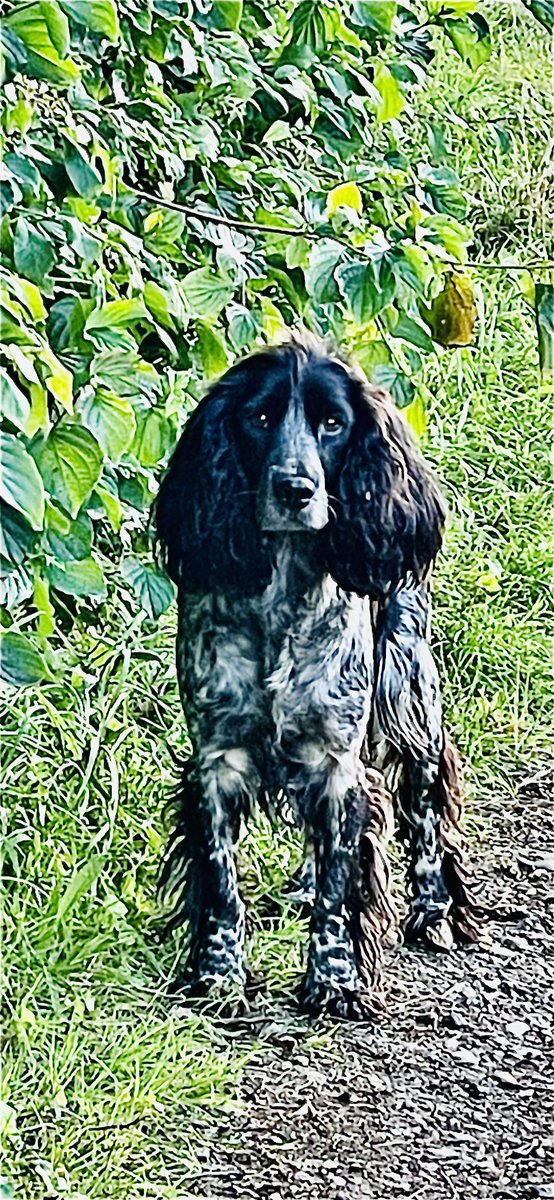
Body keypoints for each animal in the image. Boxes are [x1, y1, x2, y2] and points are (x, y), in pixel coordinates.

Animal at [152, 333, 479, 1017]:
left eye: (333, 423)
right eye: (259, 417)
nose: (296, 489)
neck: (281, 593)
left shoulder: (340, 763)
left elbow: (341, 882)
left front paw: (335, 980)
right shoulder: (217, 758)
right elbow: (221, 880)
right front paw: (219, 978)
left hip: (410, 694)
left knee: (426, 808)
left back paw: (432, 911)